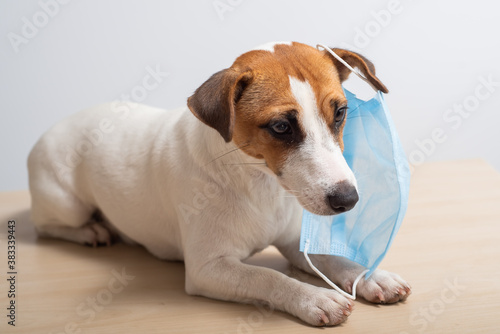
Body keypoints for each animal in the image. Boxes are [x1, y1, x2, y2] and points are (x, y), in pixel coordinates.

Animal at [27, 41, 410, 326]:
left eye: (340, 113)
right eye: (281, 127)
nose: (348, 199)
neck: (259, 183)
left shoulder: (292, 241)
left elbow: (333, 259)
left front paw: (370, 276)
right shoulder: (207, 268)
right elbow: (267, 277)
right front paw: (312, 296)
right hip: (67, 204)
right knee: (47, 225)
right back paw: (90, 230)